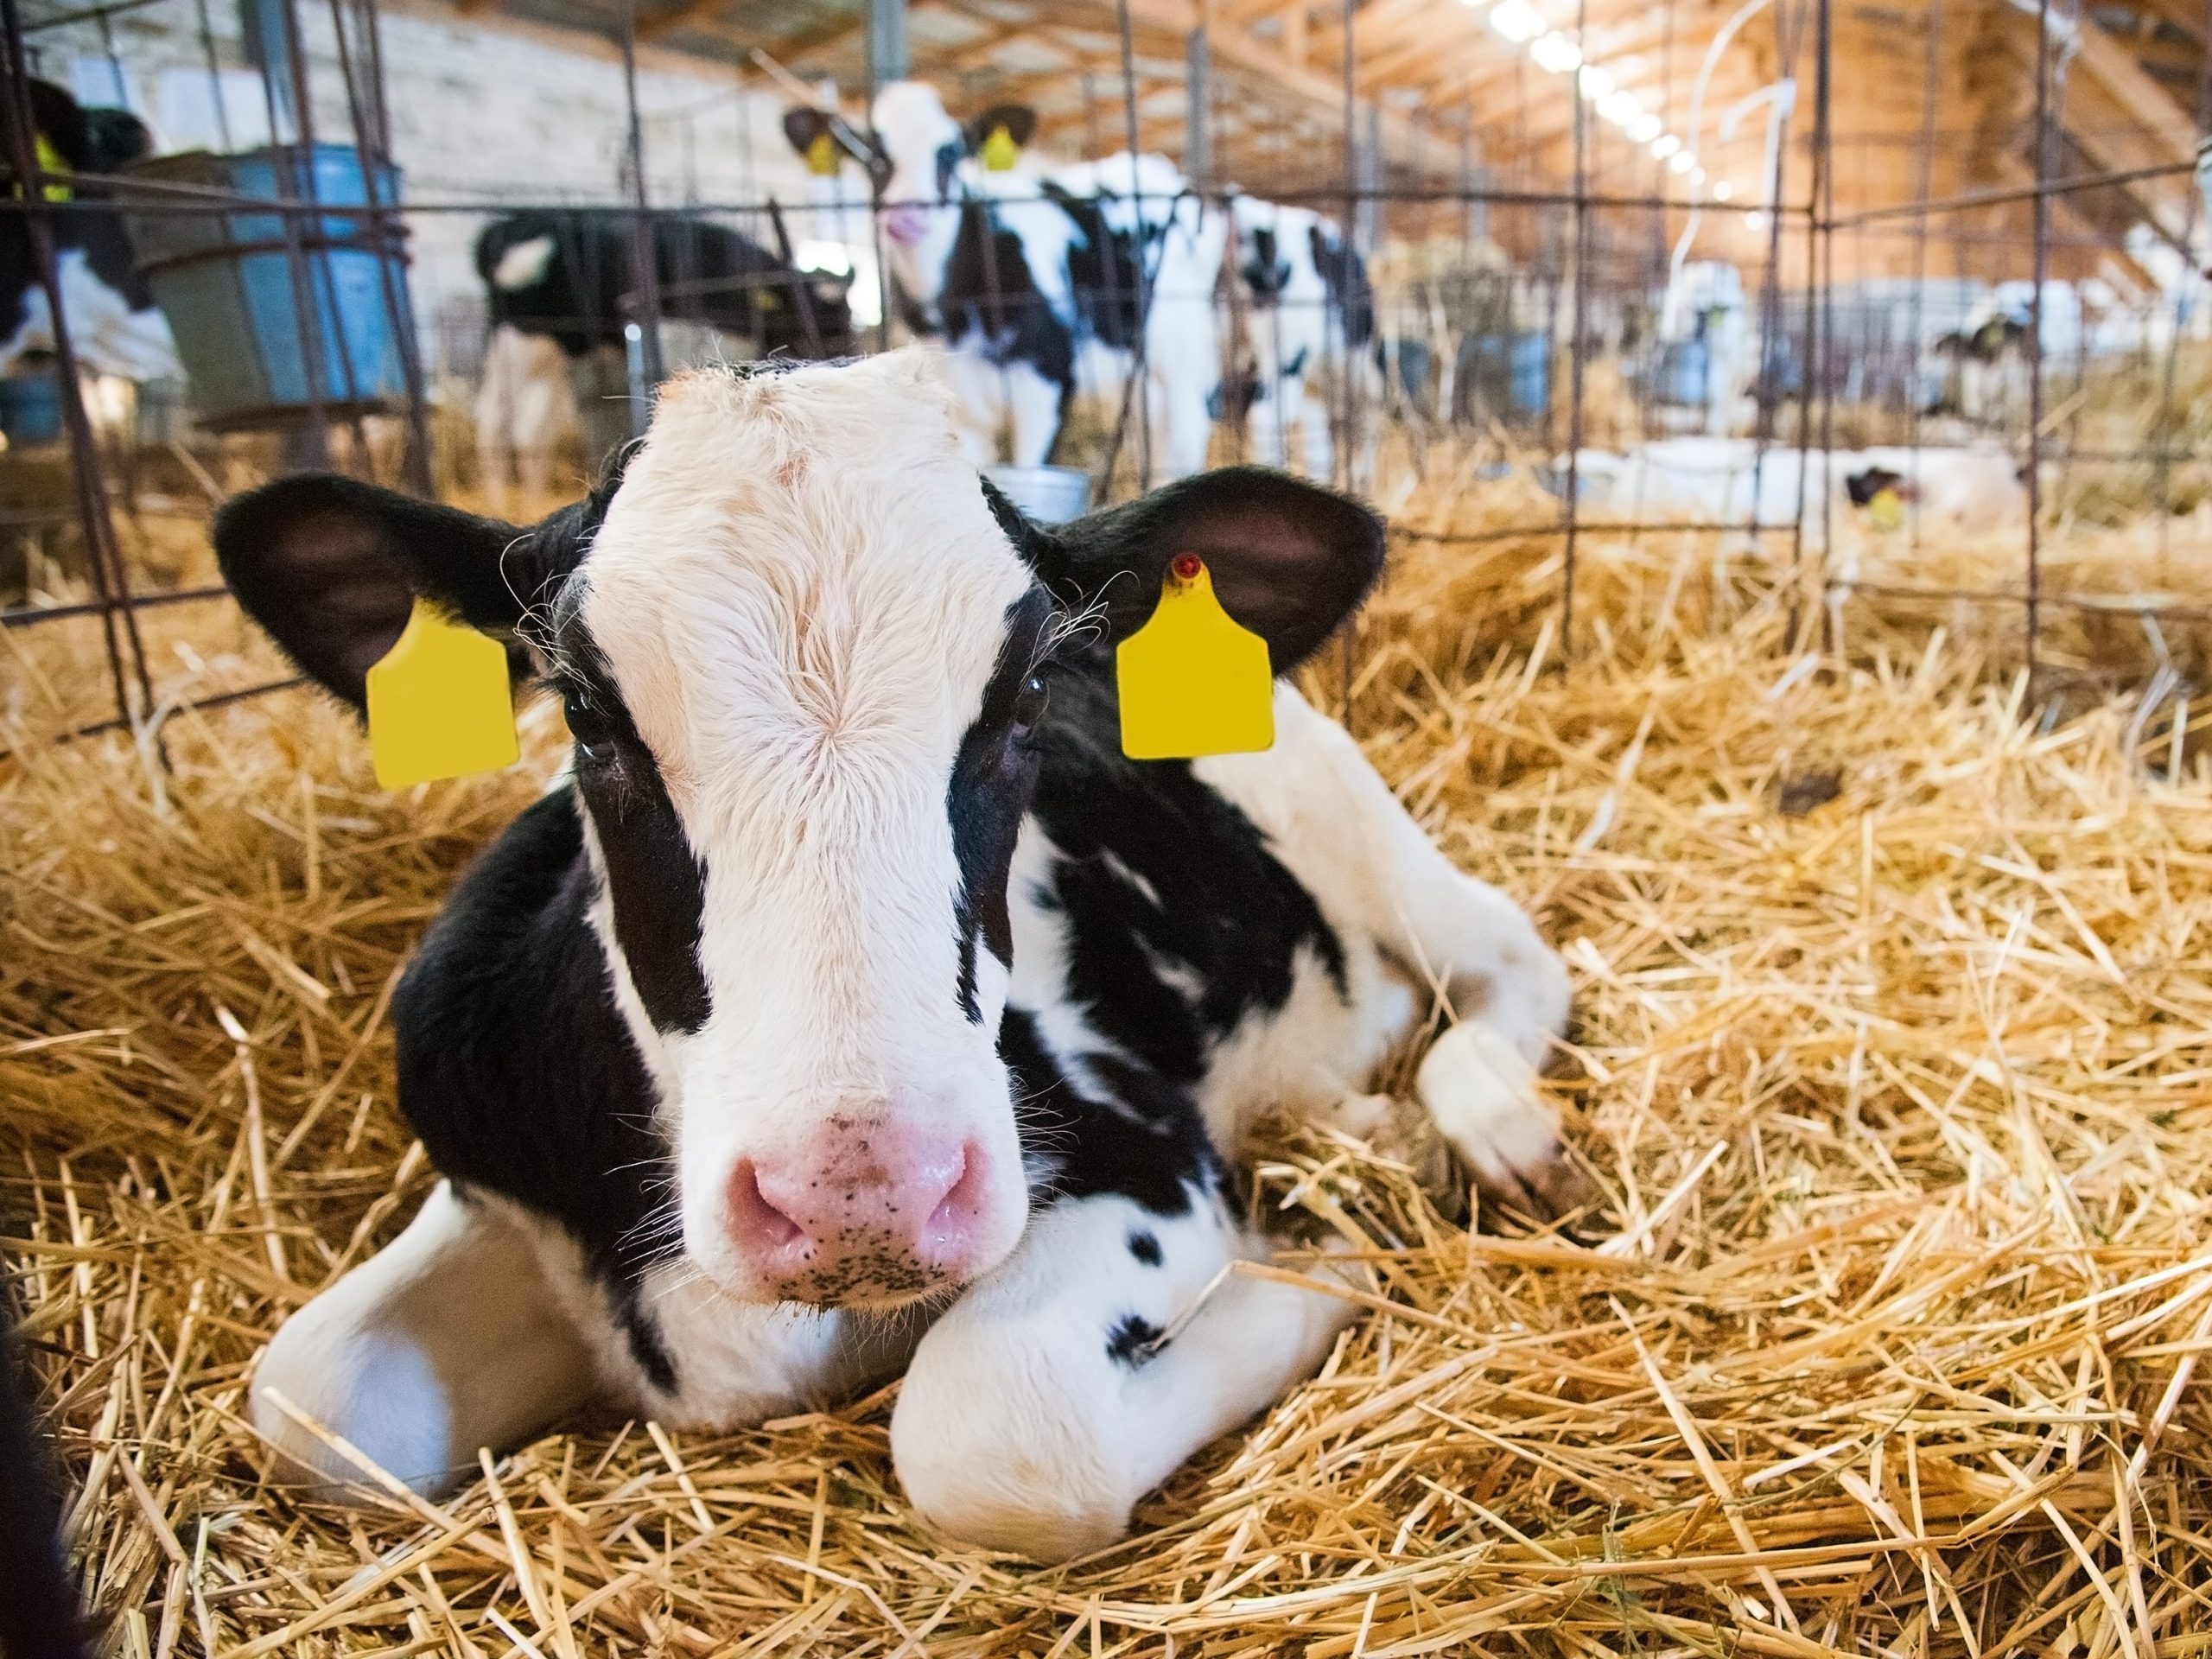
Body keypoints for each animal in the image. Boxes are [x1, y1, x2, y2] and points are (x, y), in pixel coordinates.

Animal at [211, 352, 1574, 1557]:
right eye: (588, 715)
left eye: (1030, 695)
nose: (856, 1194)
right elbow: (310, 1400)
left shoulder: (1142, 1151)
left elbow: (997, 1427)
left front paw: (1320, 1267)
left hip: (1356, 823)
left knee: (1508, 955)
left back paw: (1483, 1122)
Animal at [475, 214, 854, 512]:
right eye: (806, 327)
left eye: (849, 321)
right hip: (534, 344)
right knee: (528, 429)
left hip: (510, 346)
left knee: (493, 418)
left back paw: (499, 502)